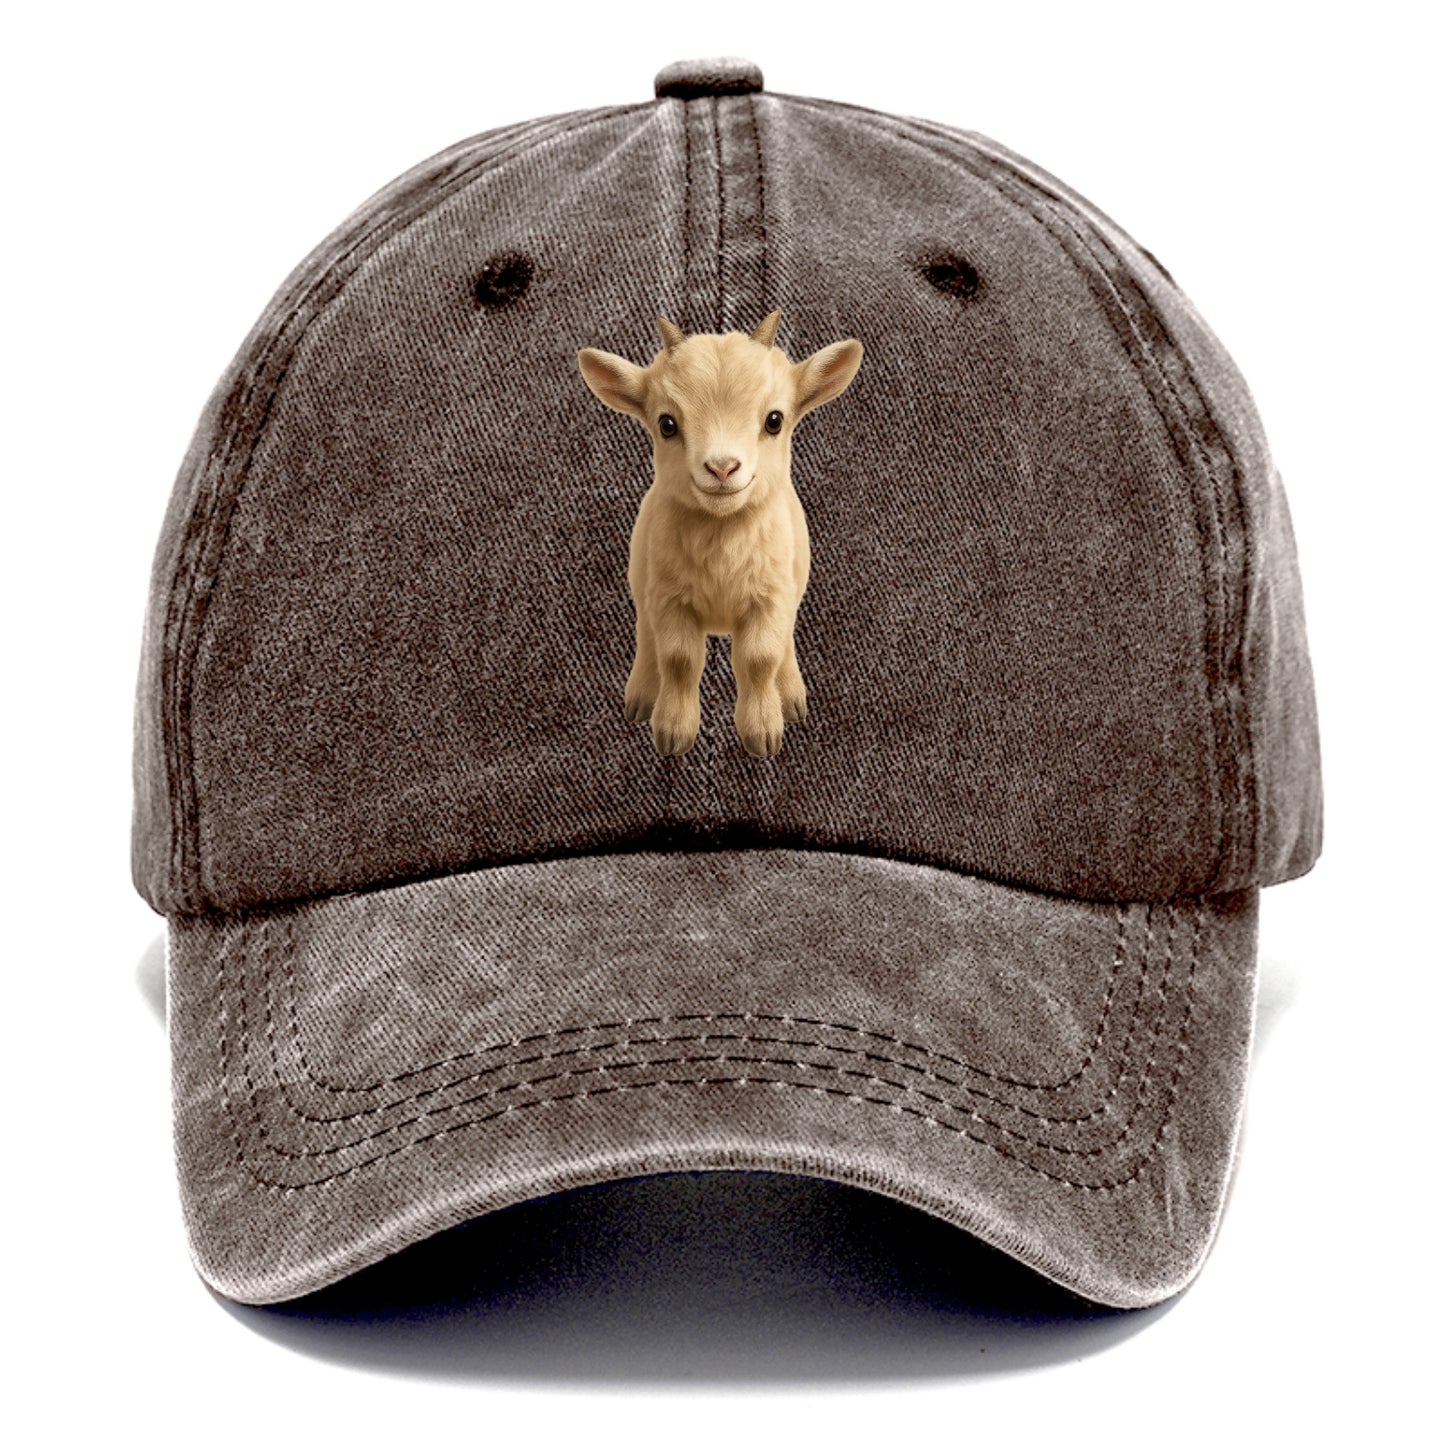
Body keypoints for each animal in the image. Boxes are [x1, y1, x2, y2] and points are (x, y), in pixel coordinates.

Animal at [578, 310, 863, 757]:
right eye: (667, 424)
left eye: (774, 420)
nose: (723, 467)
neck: (722, 535)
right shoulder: (670, 598)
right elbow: (677, 658)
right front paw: (673, 732)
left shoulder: (770, 596)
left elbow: (761, 658)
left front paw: (763, 731)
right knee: (646, 638)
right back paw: (640, 697)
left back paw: (791, 696)